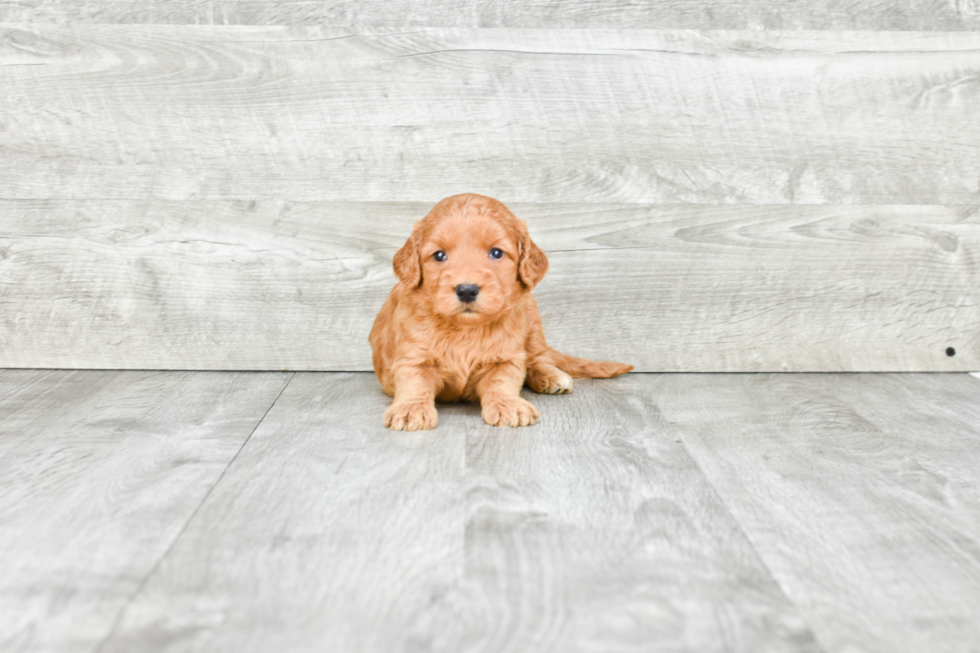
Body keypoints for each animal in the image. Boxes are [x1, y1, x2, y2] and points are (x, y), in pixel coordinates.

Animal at [370, 191, 636, 430]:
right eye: (439, 255)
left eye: (496, 252)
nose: (467, 290)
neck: (465, 330)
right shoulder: (412, 357)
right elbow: (414, 382)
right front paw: (411, 409)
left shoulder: (507, 358)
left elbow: (502, 382)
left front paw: (508, 405)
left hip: (532, 322)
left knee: (537, 358)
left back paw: (551, 376)